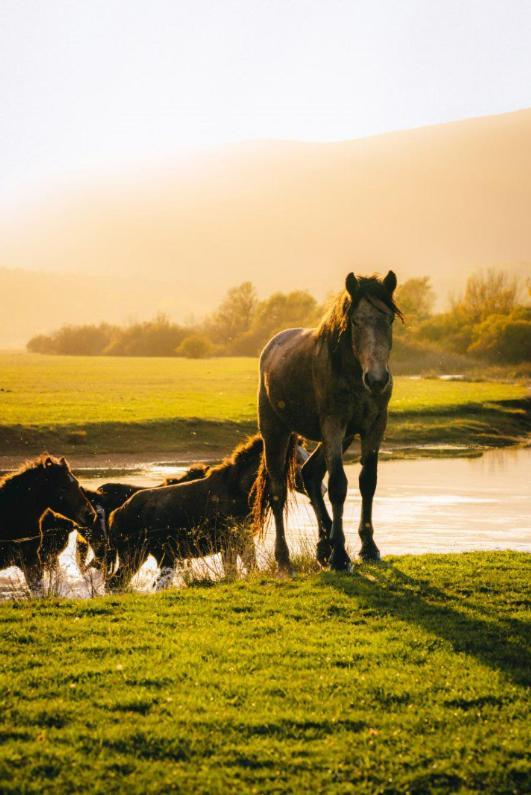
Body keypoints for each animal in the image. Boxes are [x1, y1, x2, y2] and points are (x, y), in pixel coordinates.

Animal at [103, 436, 308, 592]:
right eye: (297, 460)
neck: (238, 491)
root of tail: (116, 514)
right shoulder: (232, 543)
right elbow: (235, 572)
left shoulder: (241, 542)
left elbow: (247, 569)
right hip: (138, 554)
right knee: (115, 583)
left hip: (151, 556)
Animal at [256, 274, 402, 572]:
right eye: (356, 321)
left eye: (389, 319)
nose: (377, 379)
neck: (353, 374)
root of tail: (271, 347)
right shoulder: (333, 426)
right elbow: (338, 485)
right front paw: (341, 557)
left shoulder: (374, 426)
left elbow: (367, 481)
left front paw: (368, 547)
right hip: (275, 431)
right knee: (278, 492)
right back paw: (284, 557)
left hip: (341, 437)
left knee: (310, 474)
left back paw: (324, 545)